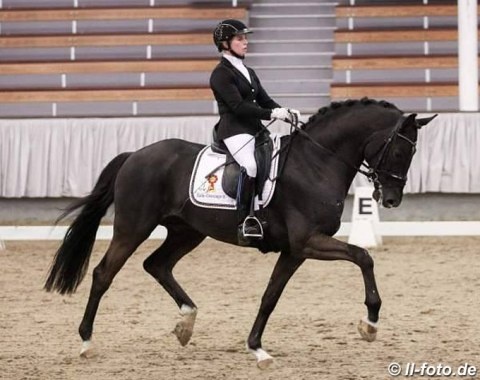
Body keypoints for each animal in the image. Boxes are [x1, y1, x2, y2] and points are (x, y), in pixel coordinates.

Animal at [44, 98, 436, 368]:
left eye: (413, 152)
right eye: (398, 150)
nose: (391, 199)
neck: (317, 163)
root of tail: (135, 155)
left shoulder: (295, 250)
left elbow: (270, 296)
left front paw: (257, 348)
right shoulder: (308, 242)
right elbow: (363, 256)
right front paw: (369, 323)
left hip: (186, 232)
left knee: (156, 265)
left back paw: (186, 323)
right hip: (133, 227)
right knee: (103, 273)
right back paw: (86, 342)